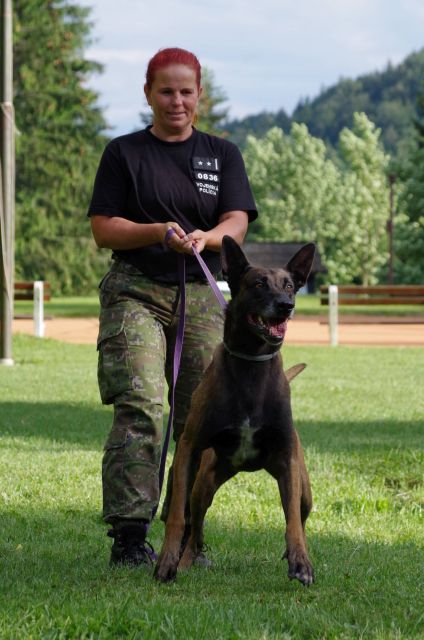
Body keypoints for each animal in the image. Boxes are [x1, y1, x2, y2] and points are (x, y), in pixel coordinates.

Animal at [154, 236, 315, 586]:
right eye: (258, 284)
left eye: (290, 286)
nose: (286, 305)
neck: (252, 364)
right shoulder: (189, 448)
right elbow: (176, 517)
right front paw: (167, 561)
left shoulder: (287, 458)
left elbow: (292, 523)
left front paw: (300, 562)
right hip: (204, 482)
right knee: (195, 527)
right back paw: (184, 561)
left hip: (304, 490)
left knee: (300, 515)